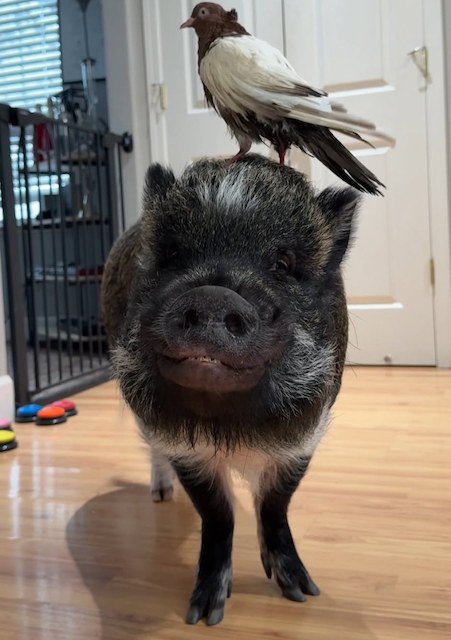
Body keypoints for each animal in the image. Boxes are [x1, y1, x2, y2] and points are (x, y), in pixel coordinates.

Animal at [101, 154, 360, 626]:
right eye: (173, 255)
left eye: (282, 263)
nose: (214, 296)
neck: (231, 425)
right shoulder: (181, 445)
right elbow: (217, 515)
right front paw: (204, 615)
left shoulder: (303, 438)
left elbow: (275, 506)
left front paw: (302, 594)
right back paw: (160, 497)